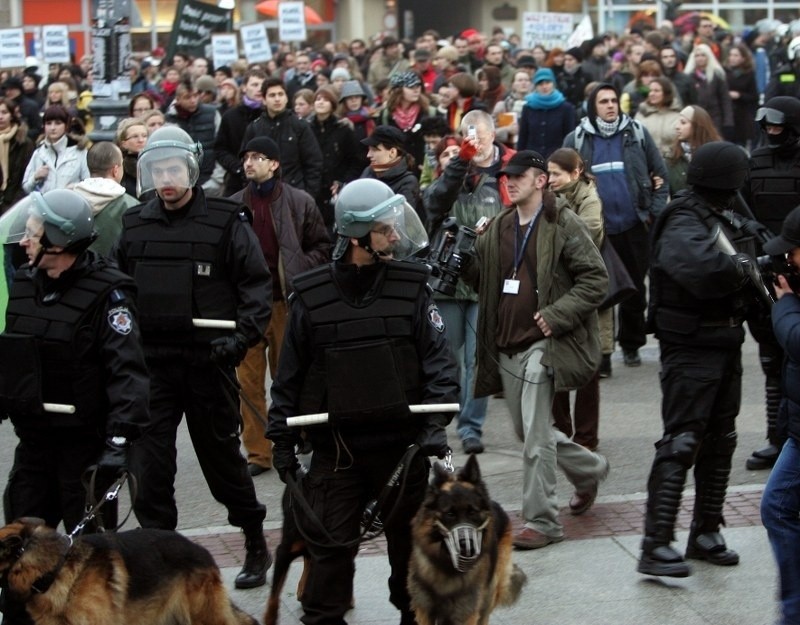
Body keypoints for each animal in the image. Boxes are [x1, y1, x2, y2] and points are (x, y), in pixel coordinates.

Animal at [410, 454, 528, 624]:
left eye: (472, 512)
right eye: (450, 514)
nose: (468, 546)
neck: (447, 568)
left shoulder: (466, 612)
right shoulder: (424, 611)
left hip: (489, 594)